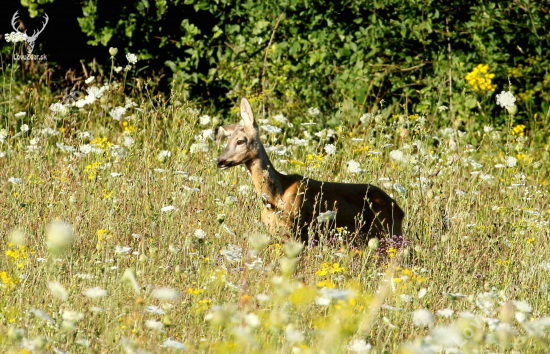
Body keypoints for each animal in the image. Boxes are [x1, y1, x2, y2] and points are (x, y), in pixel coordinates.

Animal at [217, 98, 406, 245]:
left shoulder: (298, 230)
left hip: (386, 230)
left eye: (240, 141)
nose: (219, 160)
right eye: (228, 140)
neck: (276, 197)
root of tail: (399, 209)